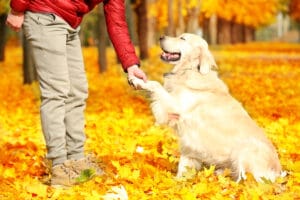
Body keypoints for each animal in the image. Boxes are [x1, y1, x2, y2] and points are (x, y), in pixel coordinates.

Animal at [128, 33, 284, 183]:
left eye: (182, 38)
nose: (161, 37)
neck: (190, 70)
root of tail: (278, 172)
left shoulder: (176, 106)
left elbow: (155, 84)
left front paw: (137, 80)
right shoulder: (189, 143)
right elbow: (184, 166)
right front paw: (178, 181)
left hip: (246, 149)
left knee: (250, 180)